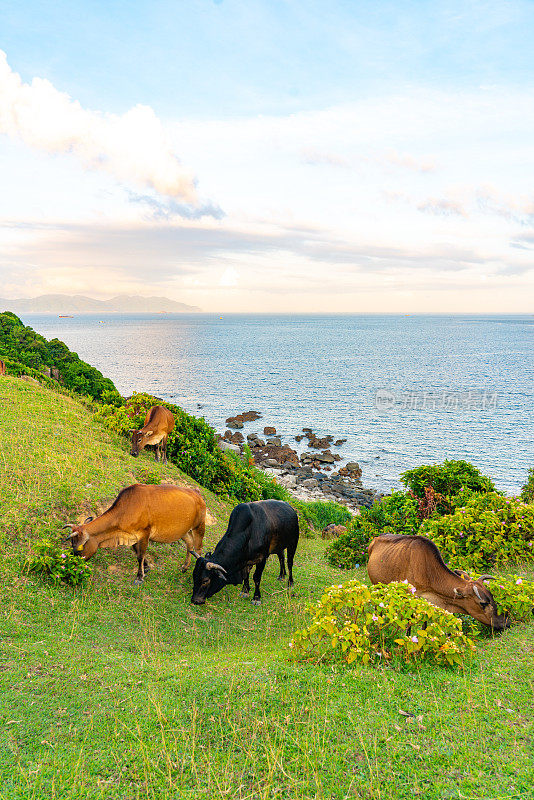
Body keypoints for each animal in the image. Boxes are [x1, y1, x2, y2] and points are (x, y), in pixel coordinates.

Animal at [62, 484, 205, 584]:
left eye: (78, 549)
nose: (73, 568)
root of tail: (197, 493)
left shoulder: (145, 534)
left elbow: (140, 555)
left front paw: (139, 577)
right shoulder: (133, 536)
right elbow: (137, 552)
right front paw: (146, 568)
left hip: (199, 527)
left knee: (198, 548)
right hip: (184, 532)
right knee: (190, 545)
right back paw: (184, 567)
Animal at [368, 532, 510, 632]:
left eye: (492, 597)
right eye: (483, 603)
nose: (505, 622)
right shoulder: (412, 596)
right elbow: (409, 623)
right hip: (376, 587)